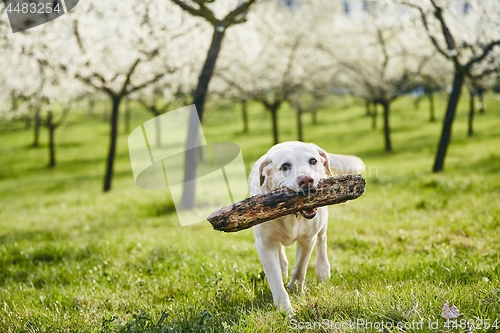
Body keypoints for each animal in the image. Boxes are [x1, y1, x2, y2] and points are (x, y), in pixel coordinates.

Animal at [249, 141, 364, 312]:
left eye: (313, 161)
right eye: (284, 166)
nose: (306, 180)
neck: (292, 214)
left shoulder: (308, 239)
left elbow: (301, 267)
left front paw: (295, 289)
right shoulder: (264, 245)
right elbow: (275, 279)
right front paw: (285, 310)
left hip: (322, 222)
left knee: (322, 240)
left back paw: (323, 271)